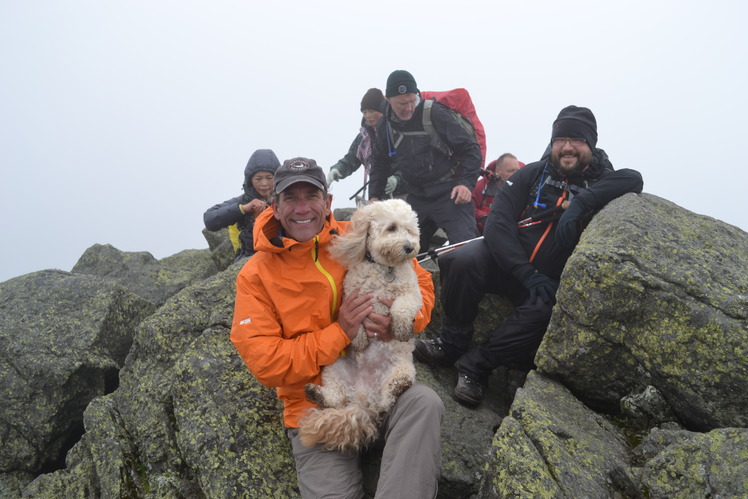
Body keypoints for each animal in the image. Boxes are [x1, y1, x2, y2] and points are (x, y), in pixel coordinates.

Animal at [300, 198, 426, 454]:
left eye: (410, 230)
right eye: (391, 228)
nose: (409, 247)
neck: (384, 269)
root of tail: (363, 399)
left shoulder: (410, 293)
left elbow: (402, 308)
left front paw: (400, 328)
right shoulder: (352, 297)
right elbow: (354, 322)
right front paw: (359, 340)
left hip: (402, 369)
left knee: (389, 399)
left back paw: (395, 389)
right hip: (334, 368)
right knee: (335, 397)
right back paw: (316, 393)